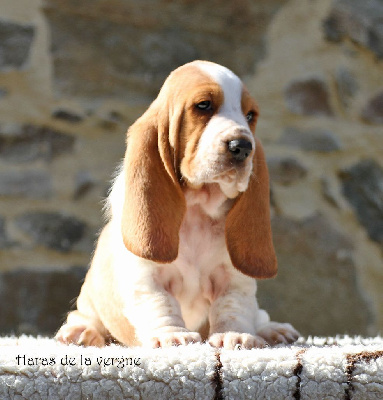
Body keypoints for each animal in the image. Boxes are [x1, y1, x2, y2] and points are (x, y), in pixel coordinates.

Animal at [56, 60, 300, 350]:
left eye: (250, 115)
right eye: (204, 105)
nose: (242, 146)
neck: (198, 209)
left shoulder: (233, 278)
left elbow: (233, 306)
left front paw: (236, 335)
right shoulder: (148, 278)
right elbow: (161, 305)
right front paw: (171, 335)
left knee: (258, 314)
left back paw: (273, 330)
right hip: (90, 297)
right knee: (84, 315)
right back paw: (81, 332)